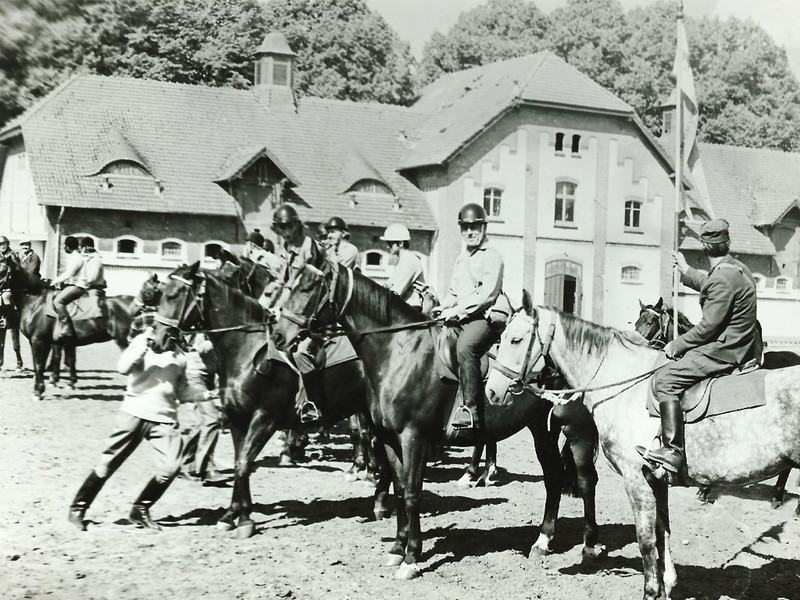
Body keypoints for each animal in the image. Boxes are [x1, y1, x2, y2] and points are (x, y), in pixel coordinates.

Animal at [152, 262, 390, 540]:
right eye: (161, 294)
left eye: (173, 295)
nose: (155, 340)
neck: (247, 351)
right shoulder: (238, 421)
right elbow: (239, 463)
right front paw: (233, 514)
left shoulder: (264, 419)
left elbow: (244, 463)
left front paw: (244, 520)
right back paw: (379, 500)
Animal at [268, 264, 600, 580]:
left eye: (307, 288)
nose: (278, 335)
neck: (399, 350)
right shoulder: (389, 439)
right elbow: (400, 489)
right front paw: (397, 548)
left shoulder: (413, 437)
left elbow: (413, 494)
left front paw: (412, 558)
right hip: (542, 429)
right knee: (553, 477)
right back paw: (542, 541)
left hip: (576, 430)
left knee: (586, 481)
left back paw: (589, 546)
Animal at [484, 290, 800, 600]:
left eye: (515, 339)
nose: (492, 391)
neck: (623, 383)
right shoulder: (657, 480)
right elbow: (662, 533)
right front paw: (666, 585)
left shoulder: (636, 478)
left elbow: (646, 541)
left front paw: (651, 591)